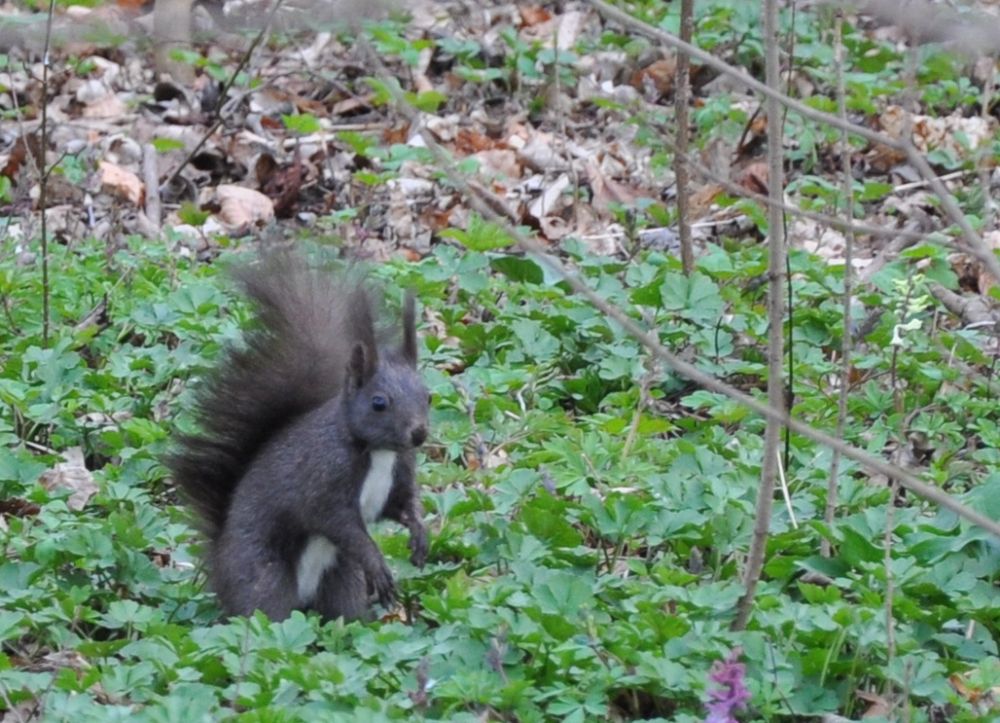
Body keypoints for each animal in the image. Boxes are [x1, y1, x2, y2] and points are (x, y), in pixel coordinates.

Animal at [165, 256, 430, 624]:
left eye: (428, 396)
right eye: (379, 403)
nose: (419, 433)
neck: (379, 454)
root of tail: (218, 569)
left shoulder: (400, 474)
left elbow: (402, 506)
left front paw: (419, 533)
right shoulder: (323, 481)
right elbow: (341, 525)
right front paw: (378, 564)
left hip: (341, 580)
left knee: (343, 614)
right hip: (264, 579)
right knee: (263, 613)